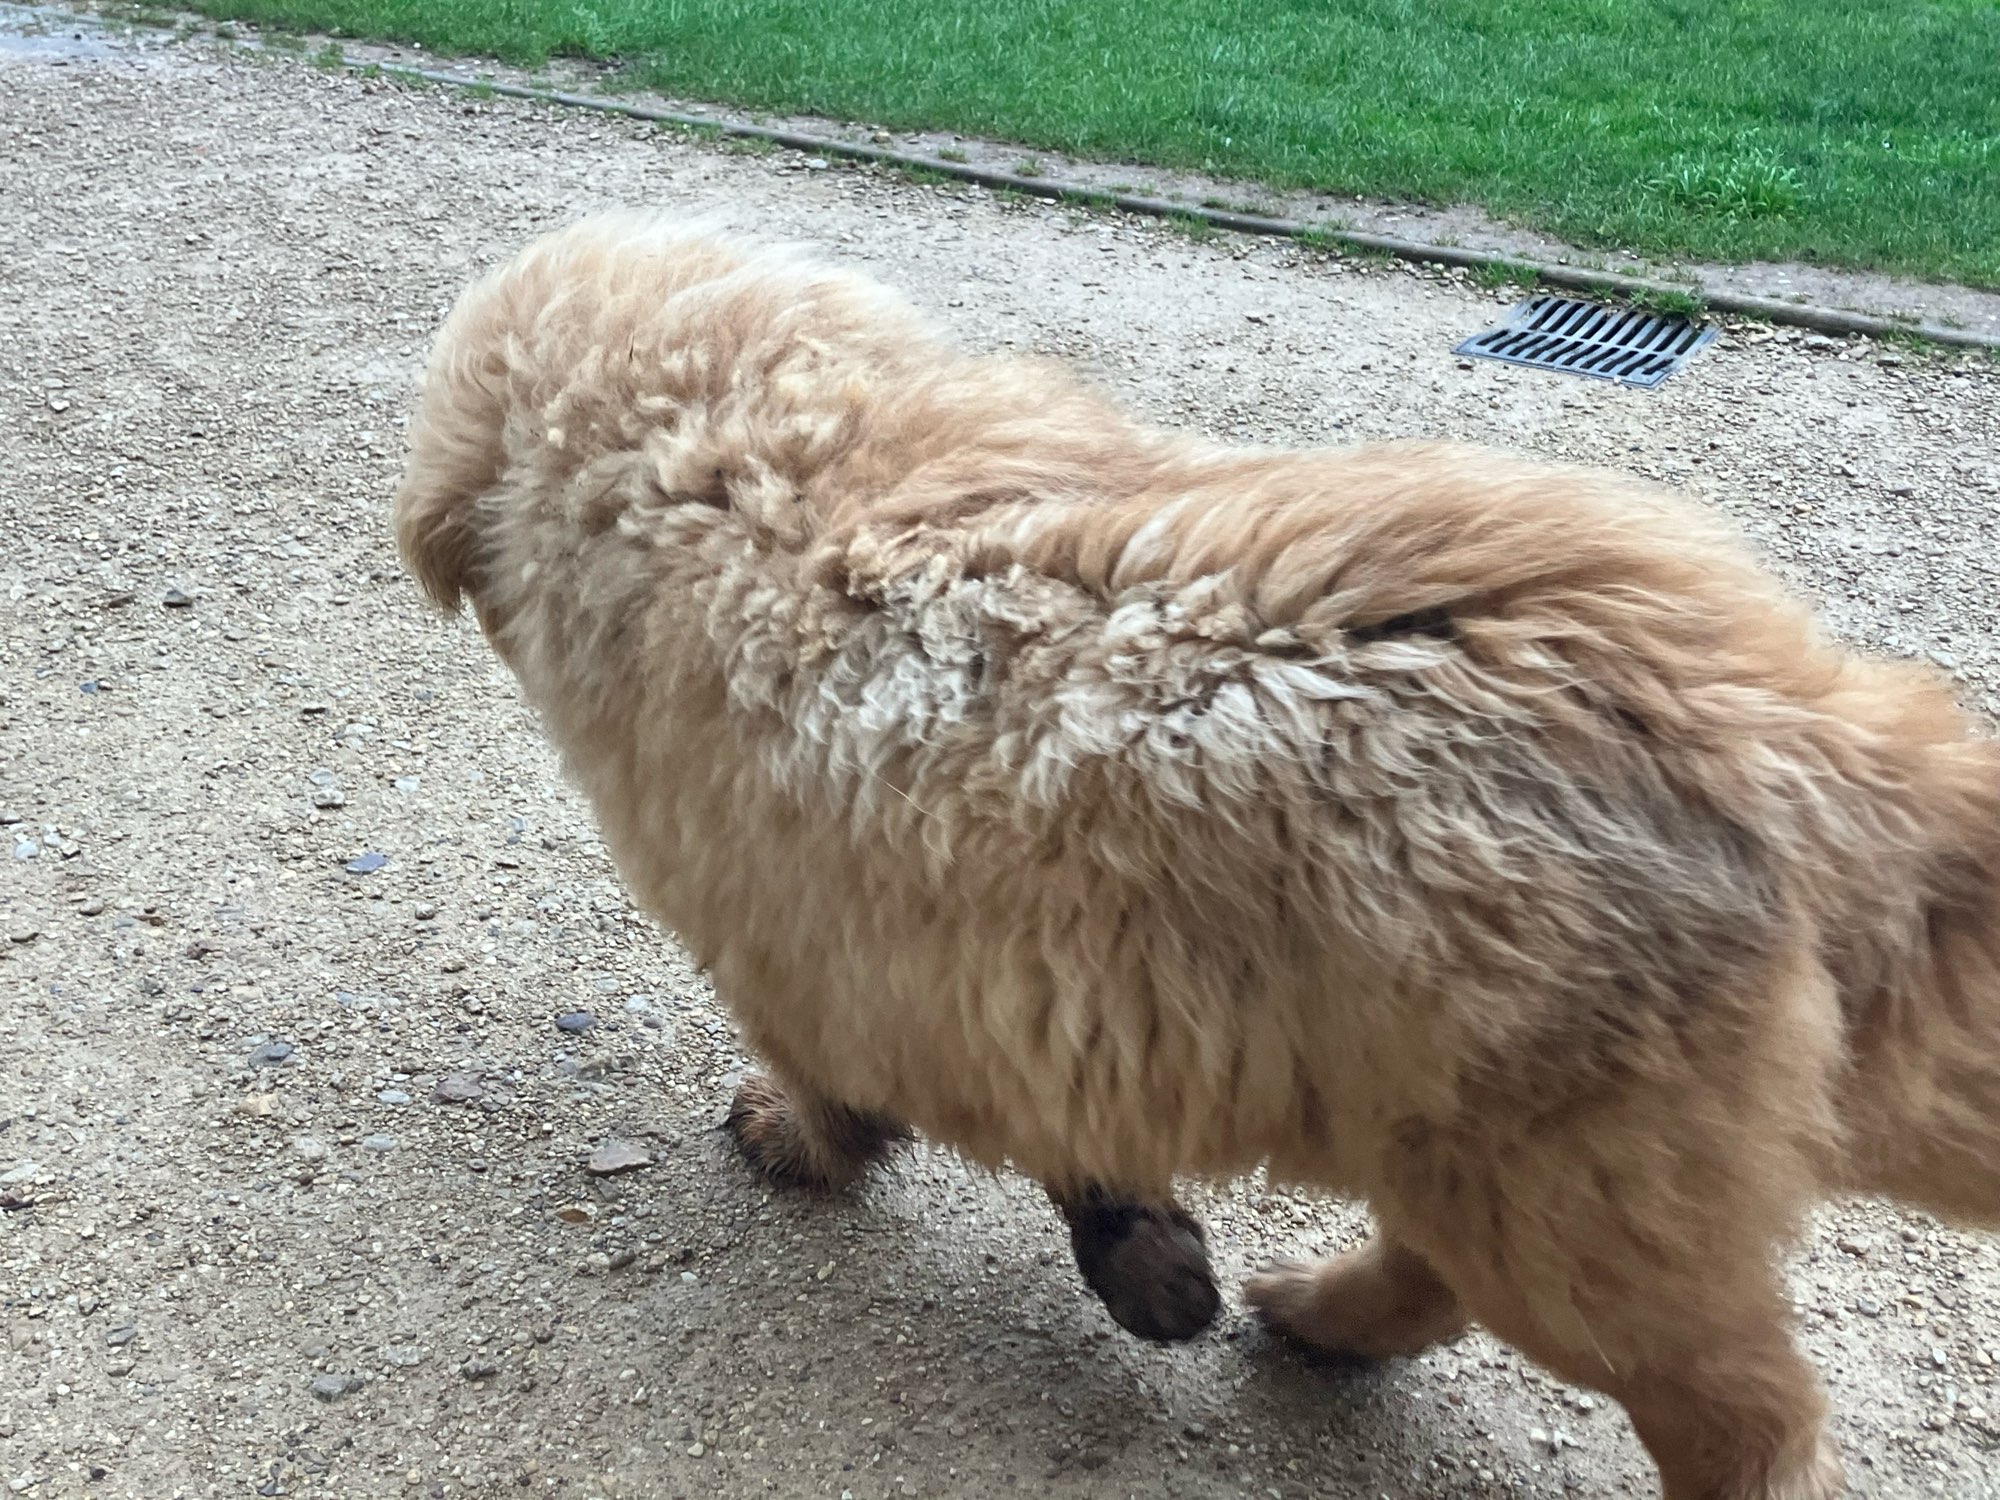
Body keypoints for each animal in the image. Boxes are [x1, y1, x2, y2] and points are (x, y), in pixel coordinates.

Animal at [394, 211, 2000, 1500]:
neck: (731, 459)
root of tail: (1787, 736)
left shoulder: (820, 946)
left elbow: (844, 1081)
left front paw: (806, 1142)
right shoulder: (1008, 980)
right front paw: (1152, 1266)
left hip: (1562, 1190)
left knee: (1749, 1416)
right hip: (1484, 1147)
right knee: (1439, 1280)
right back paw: (1321, 1316)